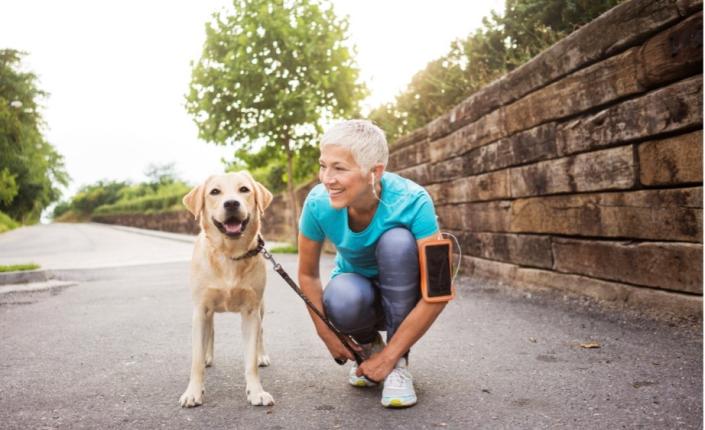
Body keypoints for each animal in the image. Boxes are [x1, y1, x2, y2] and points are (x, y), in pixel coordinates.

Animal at [177, 170, 274, 406]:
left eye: (244, 189)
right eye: (214, 192)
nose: (231, 203)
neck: (230, 254)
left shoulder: (250, 311)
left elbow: (250, 360)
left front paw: (256, 391)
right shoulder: (201, 309)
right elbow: (196, 359)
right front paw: (193, 392)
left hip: (261, 308)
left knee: (261, 332)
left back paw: (262, 355)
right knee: (210, 331)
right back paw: (207, 356)